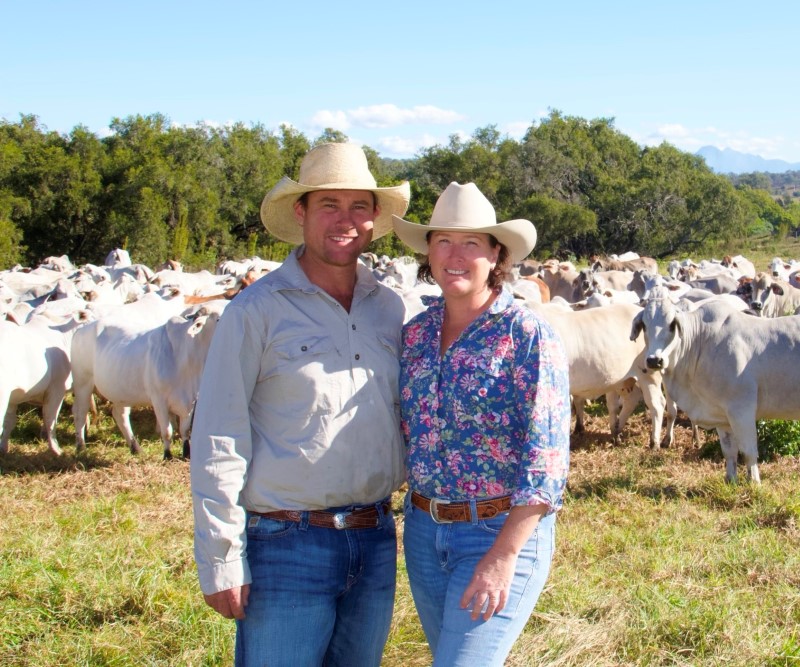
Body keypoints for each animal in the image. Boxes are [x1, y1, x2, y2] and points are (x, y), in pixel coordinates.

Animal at [71, 312, 222, 460]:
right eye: (218, 319)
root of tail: (81, 329)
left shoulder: (191, 400)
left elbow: (185, 430)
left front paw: (186, 453)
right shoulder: (159, 400)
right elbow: (167, 431)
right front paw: (167, 455)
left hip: (121, 391)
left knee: (120, 415)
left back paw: (135, 448)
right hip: (83, 383)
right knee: (80, 413)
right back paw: (81, 448)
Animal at [632, 284, 800, 482]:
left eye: (672, 324)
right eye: (644, 325)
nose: (654, 360)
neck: (699, 342)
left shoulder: (742, 410)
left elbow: (749, 452)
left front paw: (754, 482)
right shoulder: (721, 416)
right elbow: (729, 451)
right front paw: (731, 480)